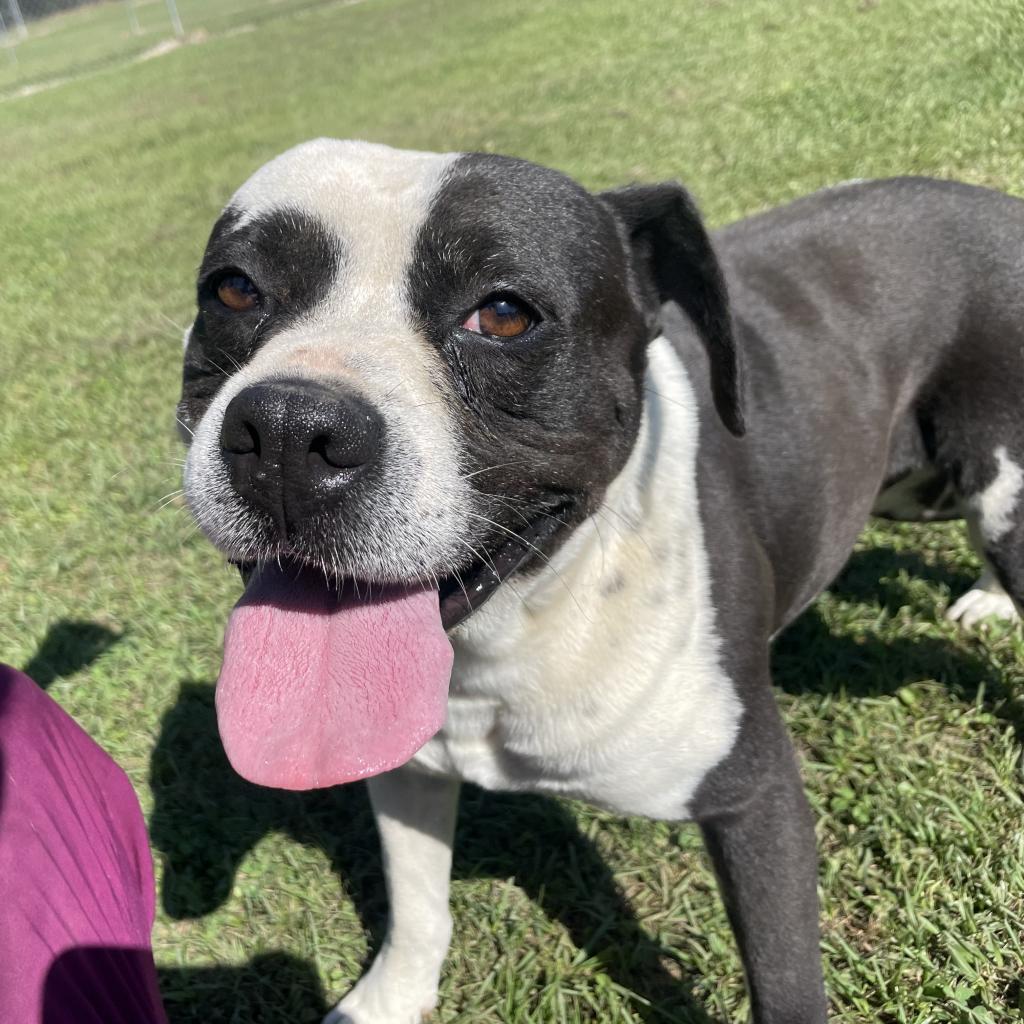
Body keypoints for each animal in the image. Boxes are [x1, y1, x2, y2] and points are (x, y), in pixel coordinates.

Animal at [178, 138, 1024, 1024]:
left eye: (504, 314)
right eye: (234, 289)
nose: (287, 432)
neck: (518, 623)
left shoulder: (755, 799)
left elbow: (785, 980)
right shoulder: (409, 767)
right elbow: (418, 905)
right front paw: (389, 997)